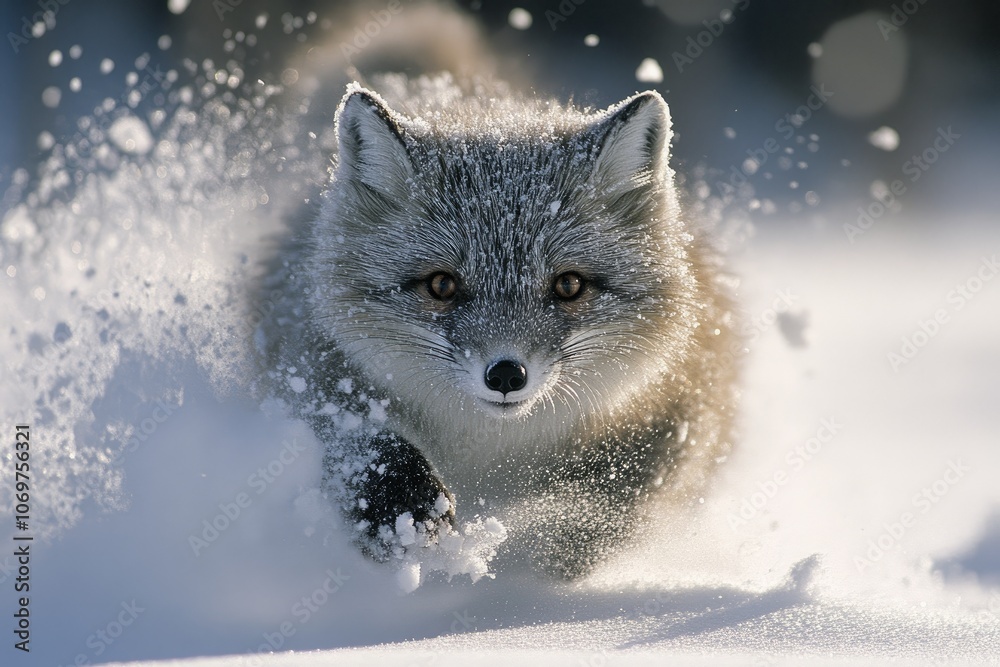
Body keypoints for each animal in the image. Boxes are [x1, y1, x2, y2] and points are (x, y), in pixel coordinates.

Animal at [271, 73, 740, 579]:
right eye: (441, 284)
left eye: (569, 285)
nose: (506, 375)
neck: (490, 450)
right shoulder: (309, 371)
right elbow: (365, 442)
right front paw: (407, 515)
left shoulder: (678, 415)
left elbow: (605, 500)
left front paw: (539, 549)